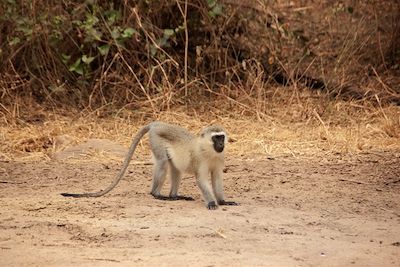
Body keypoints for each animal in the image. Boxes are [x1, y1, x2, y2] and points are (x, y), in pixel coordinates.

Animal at [60, 122, 238, 211]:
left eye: (221, 137)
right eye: (215, 138)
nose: (221, 144)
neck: (209, 150)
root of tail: (156, 124)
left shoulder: (219, 159)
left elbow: (217, 179)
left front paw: (222, 201)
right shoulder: (199, 159)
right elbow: (202, 180)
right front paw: (212, 203)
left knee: (175, 169)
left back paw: (174, 196)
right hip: (156, 139)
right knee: (163, 163)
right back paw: (157, 195)